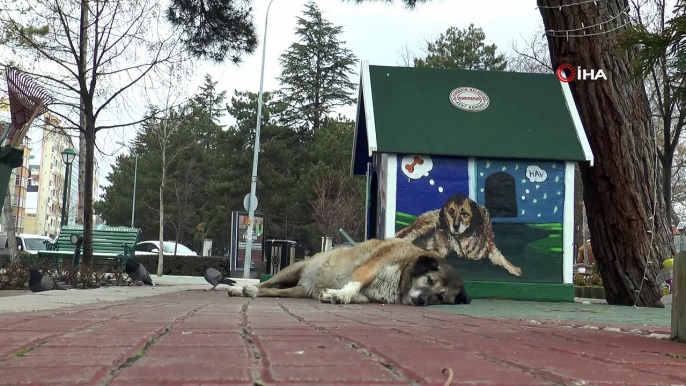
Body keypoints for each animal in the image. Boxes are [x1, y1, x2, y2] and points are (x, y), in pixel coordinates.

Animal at [228, 237, 470, 306]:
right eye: (429, 280)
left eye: (440, 297)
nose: (422, 301)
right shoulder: (369, 269)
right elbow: (353, 286)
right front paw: (340, 295)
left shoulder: (369, 296)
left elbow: (358, 296)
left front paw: (333, 294)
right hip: (290, 269)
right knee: (265, 284)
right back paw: (243, 289)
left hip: (298, 291)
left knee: (272, 291)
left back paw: (251, 292)